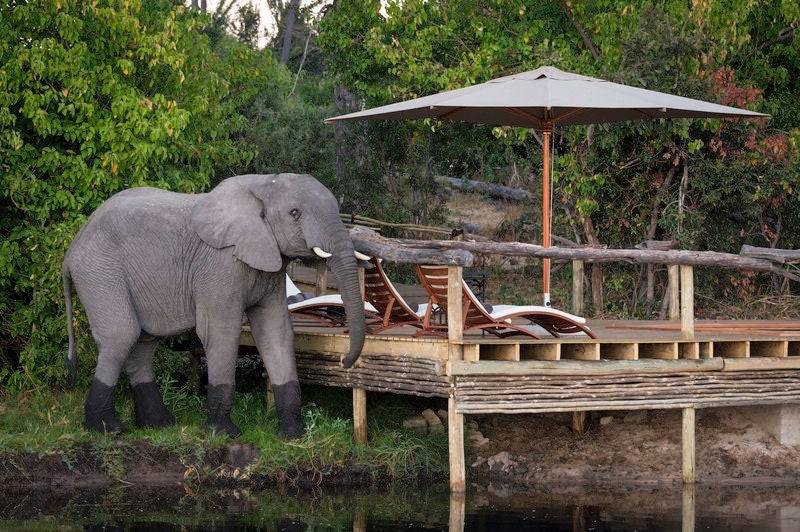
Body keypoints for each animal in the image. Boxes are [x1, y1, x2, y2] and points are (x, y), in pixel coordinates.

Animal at [64, 172, 368, 438]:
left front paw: (293, 436)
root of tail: (70, 250)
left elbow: (276, 332)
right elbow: (222, 331)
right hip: (100, 271)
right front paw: (222, 434)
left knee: (144, 343)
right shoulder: (219, 265)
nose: (344, 360)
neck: (263, 184)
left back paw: (160, 425)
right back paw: (108, 430)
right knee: (122, 335)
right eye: (295, 213)